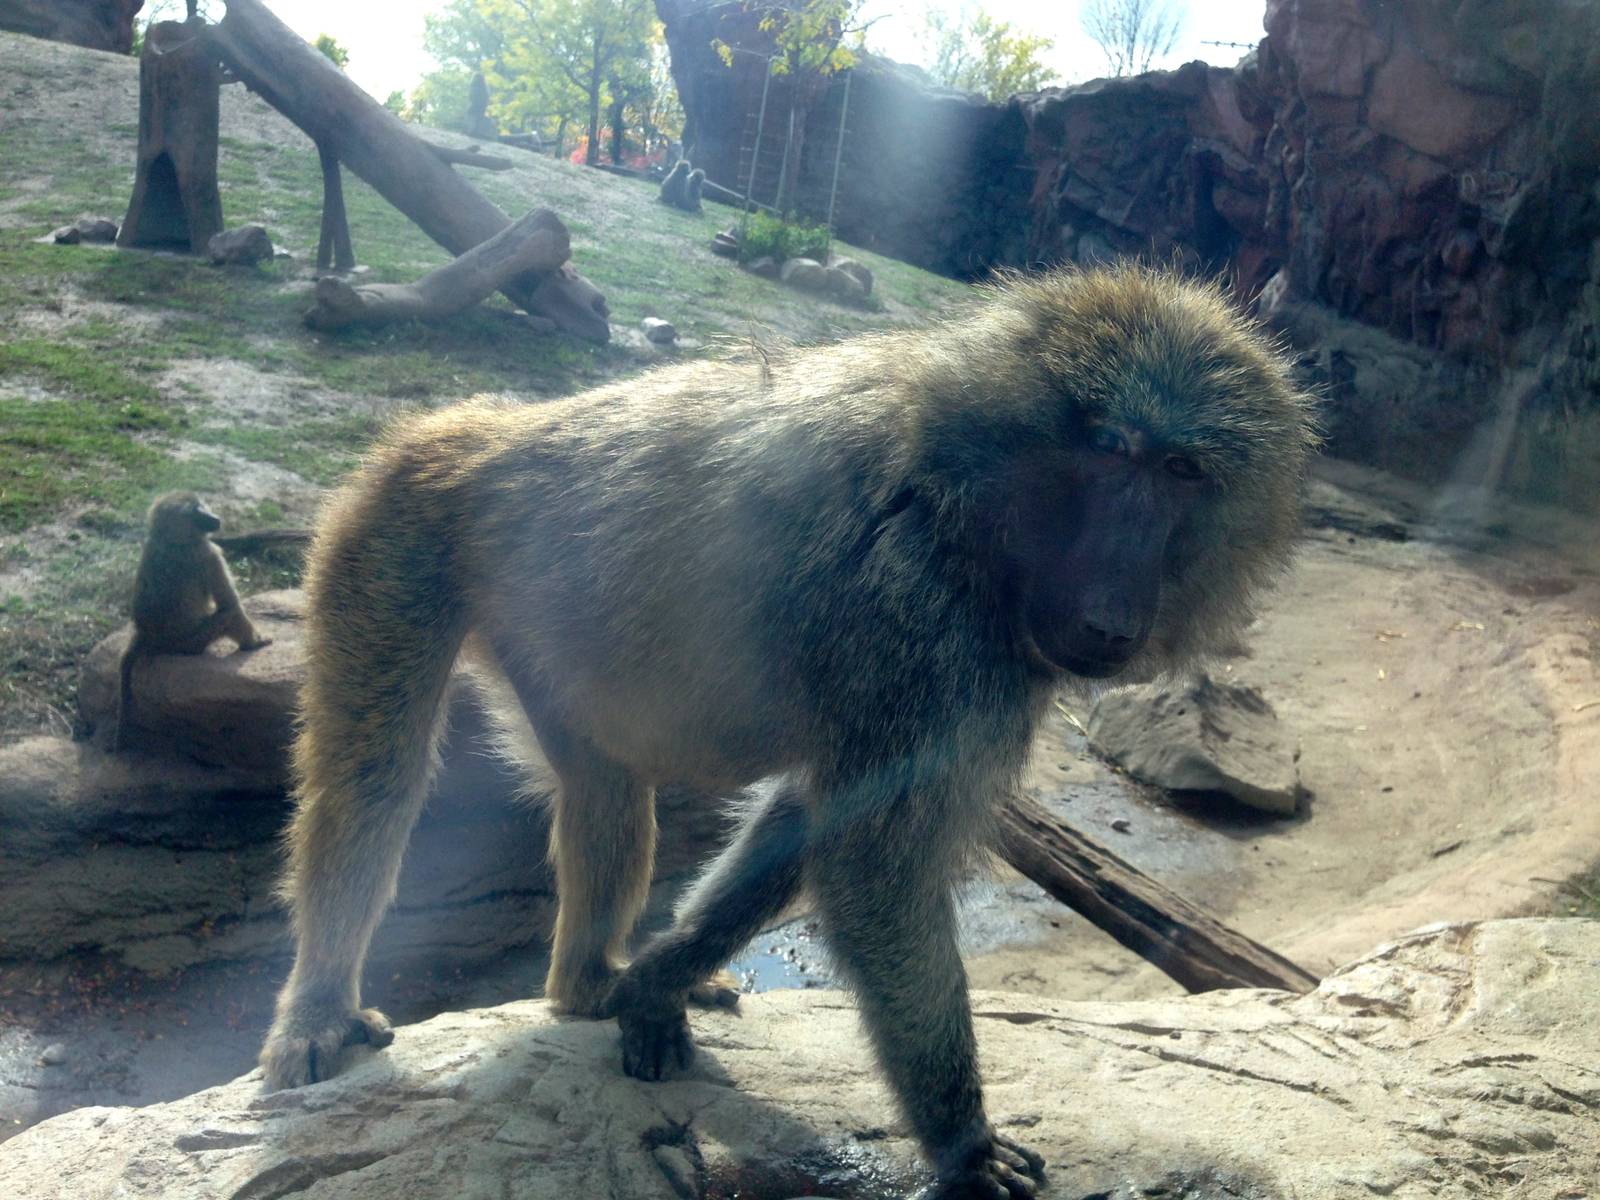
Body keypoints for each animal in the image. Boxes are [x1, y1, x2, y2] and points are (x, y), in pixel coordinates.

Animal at [112, 492, 272, 753]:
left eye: (202, 506)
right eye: (197, 513)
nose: (215, 518)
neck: (171, 540)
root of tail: (149, 636)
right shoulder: (209, 553)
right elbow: (229, 604)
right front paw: (256, 640)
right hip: (190, 643)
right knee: (230, 615)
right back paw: (251, 645)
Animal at [259, 265, 1318, 1199]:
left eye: (1181, 471)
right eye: (1107, 451)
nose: (1112, 612)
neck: (959, 475)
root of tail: (476, 424)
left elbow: (808, 816)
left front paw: (658, 981)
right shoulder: (921, 623)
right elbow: (872, 870)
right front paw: (964, 1147)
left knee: (607, 796)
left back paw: (587, 986)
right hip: (397, 531)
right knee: (377, 780)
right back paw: (320, 1009)